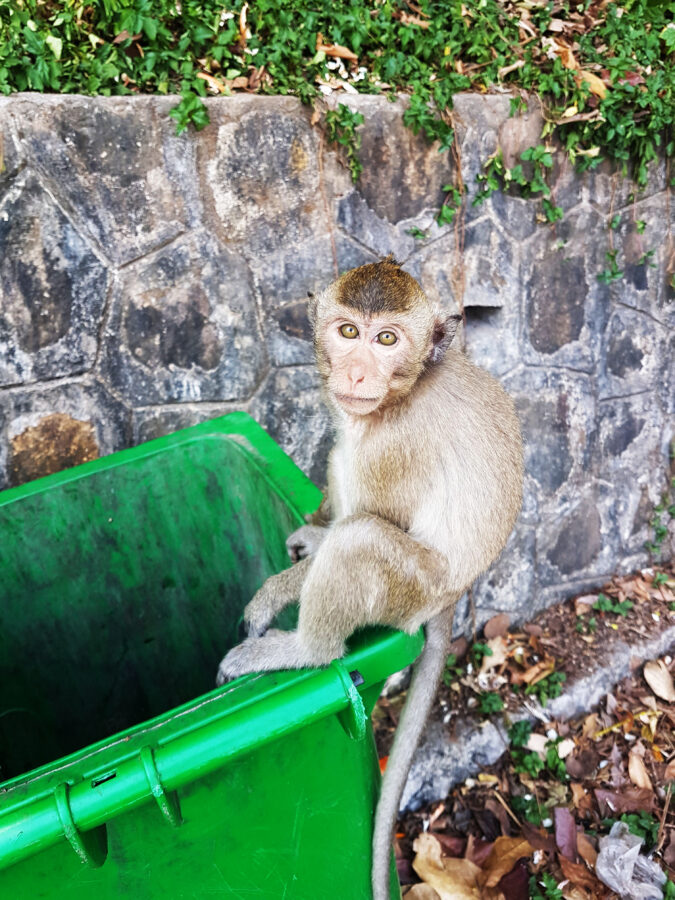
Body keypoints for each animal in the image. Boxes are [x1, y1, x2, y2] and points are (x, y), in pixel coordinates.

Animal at [217, 255, 524, 900]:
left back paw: (304, 648)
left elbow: (370, 519)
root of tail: (449, 599)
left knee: (360, 537)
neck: (407, 389)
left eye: (387, 340)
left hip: (411, 589)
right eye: (348, 332)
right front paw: (310, 538)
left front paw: (275, 592)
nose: (357, 373)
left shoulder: (394, 447)